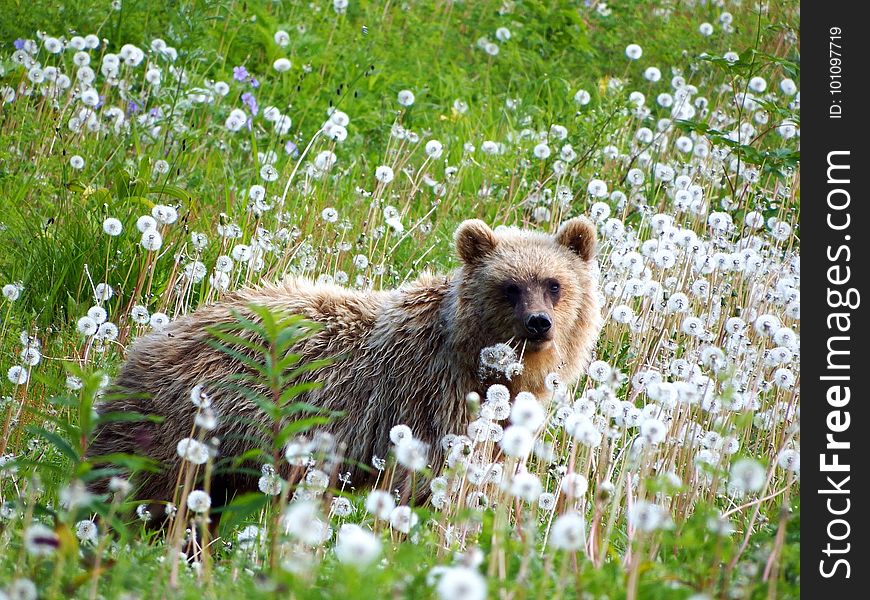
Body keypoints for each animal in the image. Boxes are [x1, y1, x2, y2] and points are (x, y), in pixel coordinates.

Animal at [90, 216, 608, 506]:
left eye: (555, 284)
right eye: (510, 287)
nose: (539, 323)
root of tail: (138, 349)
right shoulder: (430, 400)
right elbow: (430, 479)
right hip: (185, 427)